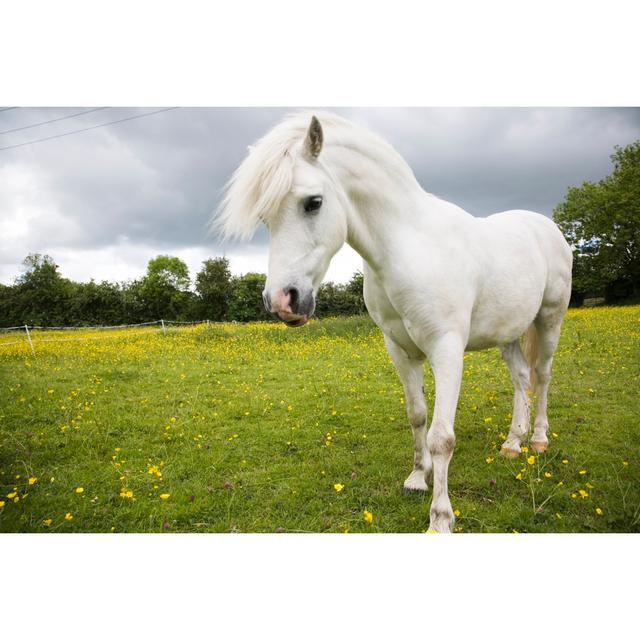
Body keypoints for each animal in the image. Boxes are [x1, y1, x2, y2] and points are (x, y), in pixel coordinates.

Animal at [218, 112, 572, 532]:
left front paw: (440, 519)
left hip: (549, 320)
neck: (409, 246)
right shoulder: (400, 349)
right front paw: (418, 477)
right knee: (520, 377)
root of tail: (546, 227)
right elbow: (417, 416)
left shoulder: (446, 349)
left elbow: (442, 437)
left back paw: (538, 440)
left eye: (313, 202)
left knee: (542, 376)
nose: (281, 301)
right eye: (265, 217)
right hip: (509, 333)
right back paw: (512, 443)